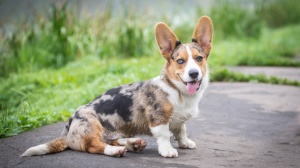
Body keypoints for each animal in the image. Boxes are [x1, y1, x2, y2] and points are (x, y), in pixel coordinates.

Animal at [21, 15, 212, 158]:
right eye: (180, 61)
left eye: (199, 58)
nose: (194, 73)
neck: (177, 90)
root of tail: (68, 130)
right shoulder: (158, 119)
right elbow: (165, 135)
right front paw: (168, 150)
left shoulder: (179, 122)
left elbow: (181, 131)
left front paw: (185, 143)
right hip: (92, 125)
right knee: (94, 146)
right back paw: (115, 150)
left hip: (111, 131)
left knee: (109, 139)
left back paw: (132, 143)